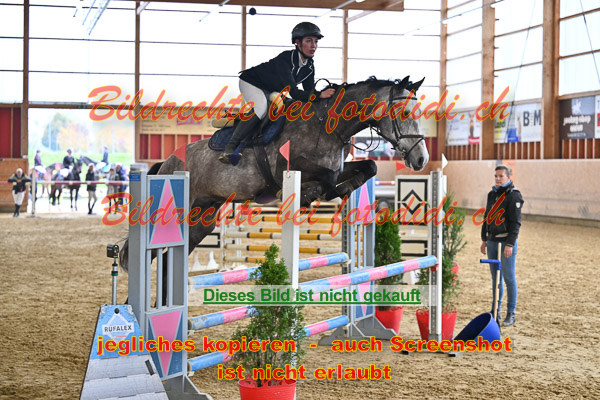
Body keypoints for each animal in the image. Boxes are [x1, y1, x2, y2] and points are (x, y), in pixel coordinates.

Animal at [119, 76, 430, 274]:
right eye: (404, 112)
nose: (421, 159)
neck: (327, 126)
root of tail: (167, 162)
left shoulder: (339, 167)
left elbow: (369, 167)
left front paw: (340, 190)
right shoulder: (290, 169)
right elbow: (324, 181)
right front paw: (309, 194)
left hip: (202, 218)